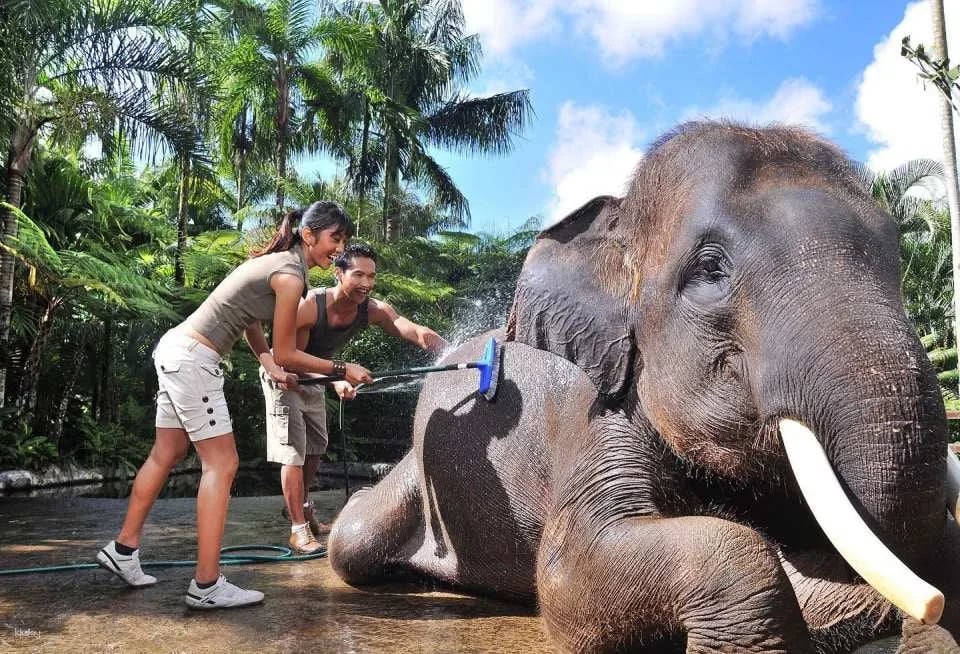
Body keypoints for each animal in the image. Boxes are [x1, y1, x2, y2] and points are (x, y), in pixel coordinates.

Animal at [327, 121, 960, 653]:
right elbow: (567, 574)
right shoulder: (597, 413)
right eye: (709, 270)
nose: (931, 607)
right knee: (353, 540)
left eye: (897, 256)